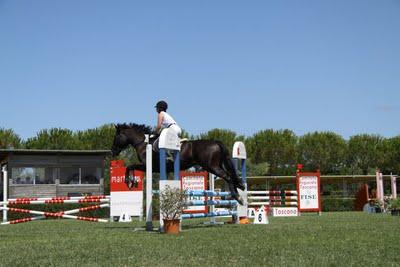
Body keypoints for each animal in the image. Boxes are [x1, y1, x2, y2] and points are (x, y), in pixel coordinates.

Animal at [111, 124, 245, 205]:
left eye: (116, 136)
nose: (113, 151)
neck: (143, 143)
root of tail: (216, 142)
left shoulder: (148, 166)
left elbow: (130, 166)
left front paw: (129, 182)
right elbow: (130, 167)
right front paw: (131, 182)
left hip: (212, 167)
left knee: (228, 176)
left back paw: (238, 197)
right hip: (216, 165)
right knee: (231, 176)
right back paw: (240, 192)